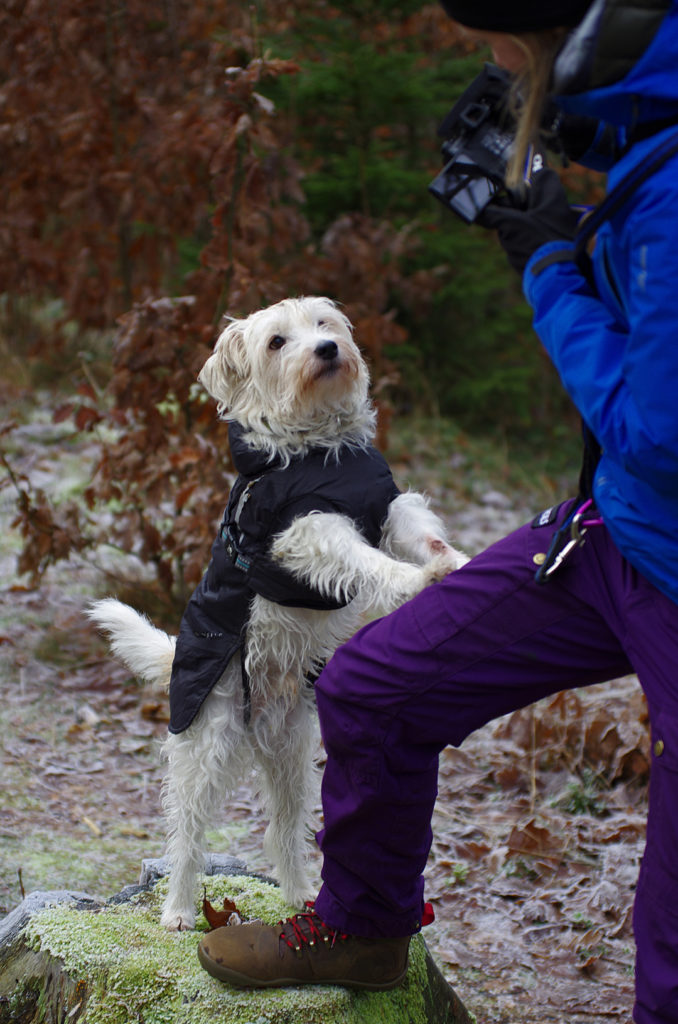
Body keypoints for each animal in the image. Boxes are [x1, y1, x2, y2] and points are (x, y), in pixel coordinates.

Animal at [89, 294, 467, 929]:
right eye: (276, 341)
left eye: (323, 323)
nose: (328, 350)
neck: (322, 447)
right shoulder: (308, 530)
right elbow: (363, 558)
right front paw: (408, 582)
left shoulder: (390, 506)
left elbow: (424, 533)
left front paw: (456, 563)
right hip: (207, 744)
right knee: (186, 836)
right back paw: (179, 909)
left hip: (294, 756)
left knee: (283, 832)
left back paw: (300, 898)